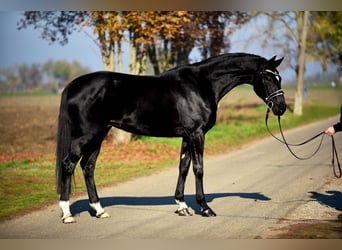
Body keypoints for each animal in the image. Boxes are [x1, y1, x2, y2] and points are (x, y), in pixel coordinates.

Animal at [56, 52, 286, 223]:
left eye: (279, 77)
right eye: (268, 77)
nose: (281, 107)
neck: (201, 84)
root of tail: (72, 86)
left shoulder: (187, 136)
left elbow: (183, 167)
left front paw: (182, 206)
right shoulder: (196, 134)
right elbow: (198, 169)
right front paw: (205, 208)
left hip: (99, 135)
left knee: (88, 166)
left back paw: (99, 210)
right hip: (87, 135)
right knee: (68, 164)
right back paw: (67, 214)